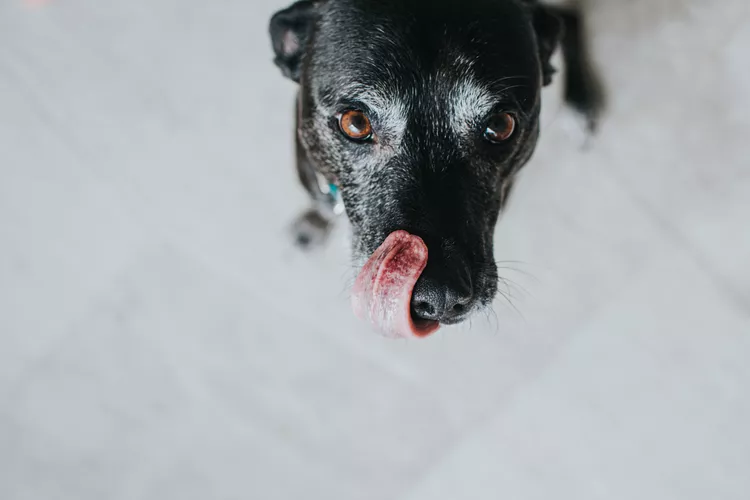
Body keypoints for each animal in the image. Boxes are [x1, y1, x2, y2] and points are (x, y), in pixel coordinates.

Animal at [268, 0, 604, 338]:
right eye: (355, 122)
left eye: (500, 126)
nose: (440, 298)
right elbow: (322, 203)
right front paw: (312, 224)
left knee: (570, 20)